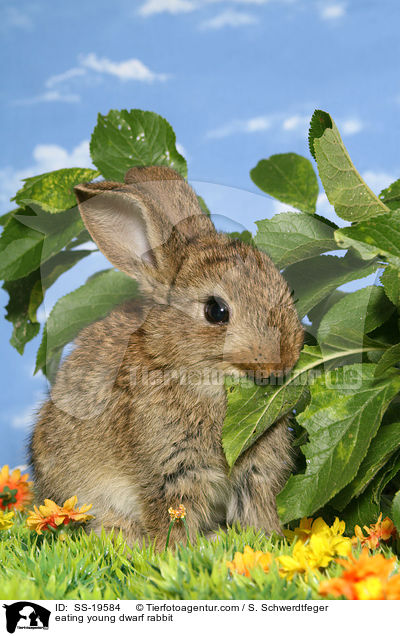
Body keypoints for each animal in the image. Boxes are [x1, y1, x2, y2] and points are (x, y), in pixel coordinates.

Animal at [30, 166, 304, 548]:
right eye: (216, 311)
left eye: (287, 290)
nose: (283, 360)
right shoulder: (171, 470)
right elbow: (173, 520)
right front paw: (180, 552)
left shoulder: (256, 471)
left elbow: (259, 512)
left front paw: (269, 543)